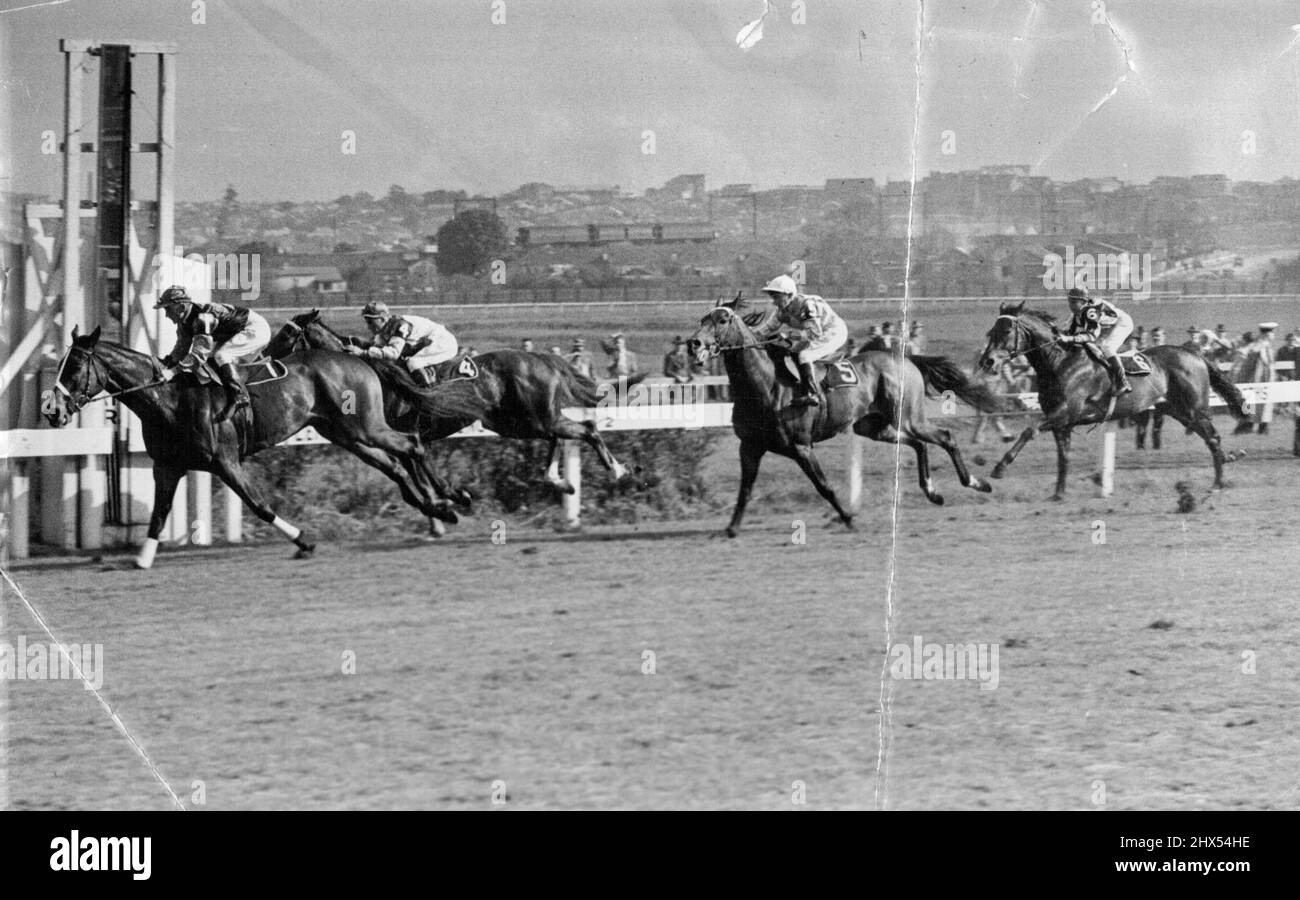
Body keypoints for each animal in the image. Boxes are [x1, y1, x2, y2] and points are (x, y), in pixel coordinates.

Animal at [45, 326, 467, 569]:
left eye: (74, 368)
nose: (52, 409)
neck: (169, 398)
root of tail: (355, 358)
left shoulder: (225, 461)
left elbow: (259, 505)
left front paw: (304, 541)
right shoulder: (168, 465)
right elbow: (158, 515)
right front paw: (142, 559)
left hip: (364, 425)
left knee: (411, 444)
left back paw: (449, 500)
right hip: (347, 434)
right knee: (394, 464)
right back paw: (436, 507)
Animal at [266, 308, 642, 491]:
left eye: (286, 332)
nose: (263, 357)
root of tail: (542, 358)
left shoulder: (397, 429)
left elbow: (413, 460)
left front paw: (444, 498)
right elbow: (411, 463)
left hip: (535, 416)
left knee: (587, 428)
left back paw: (619, 471)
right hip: (515, 422)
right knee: (557, 436)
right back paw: (557, 480)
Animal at [686, 295, 998, 533]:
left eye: (722, 320)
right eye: (702, 319)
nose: (694, 344)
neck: (764, 384)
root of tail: (906, 357)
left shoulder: (800, 446)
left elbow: (824, 486)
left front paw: (848, 518)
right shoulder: (750, 447)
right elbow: (745, 490)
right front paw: (731, 527)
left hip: (909, 417)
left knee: (944, 436)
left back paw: (975, 482)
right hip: (873, 427)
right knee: (919, 444)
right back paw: (933, 492)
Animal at [977, 304, 1248, 499]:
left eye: (1007, 331)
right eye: (991, 332)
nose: (987, 361)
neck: (1059, 362)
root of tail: (1194, 353)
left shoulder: (1064, 412)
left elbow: (1029, 430)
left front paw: (1000, 467)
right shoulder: (1062, 423)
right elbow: (1063, 456)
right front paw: (1059, 493)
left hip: (1195, 408)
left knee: (1213, 438)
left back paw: (1218, 482)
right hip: (1177, 410)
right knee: (1209, 437)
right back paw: (1228, 459)